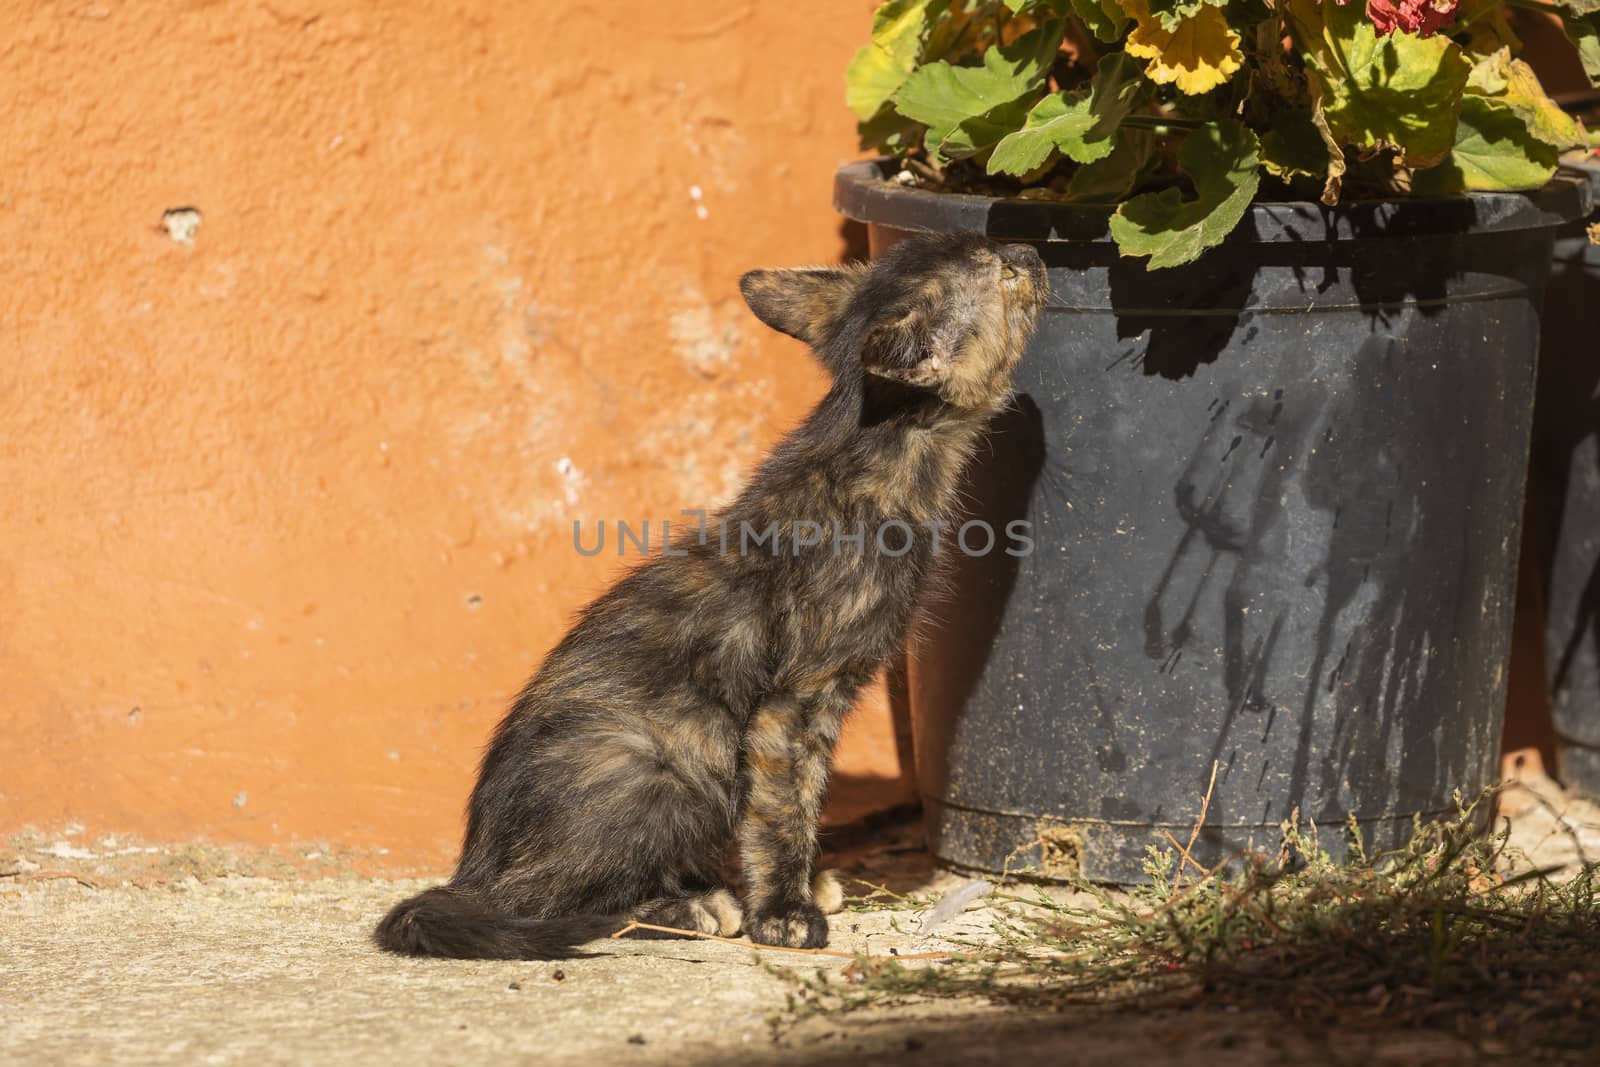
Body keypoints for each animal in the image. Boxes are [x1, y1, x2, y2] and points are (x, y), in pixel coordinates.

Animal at [374, 233, 1049, 959]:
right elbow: (784, 809)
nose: (1032, 252)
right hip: (659, 768)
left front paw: (798, 890)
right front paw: (783, 912)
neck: (875, 450)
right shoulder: (794, 701)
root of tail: (472, 866)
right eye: (1001, 273)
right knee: (541, 901)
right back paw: (691, 906)